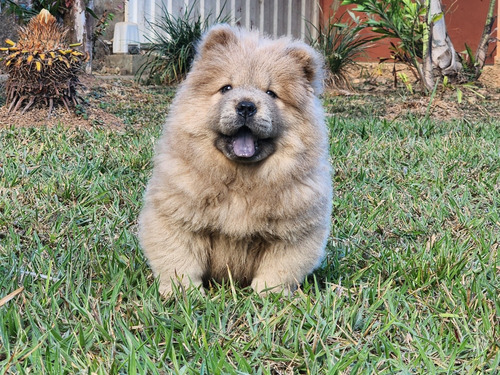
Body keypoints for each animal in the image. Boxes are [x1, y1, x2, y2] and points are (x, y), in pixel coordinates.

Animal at [139, 25, 332, 296]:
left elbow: (279, 269)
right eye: (226, 88)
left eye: (271, 93)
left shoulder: (292, 233)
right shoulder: (177, 219)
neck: (241, 180)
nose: (246, 106)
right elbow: (180, 260)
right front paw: (185, 294)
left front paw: (267, 295)